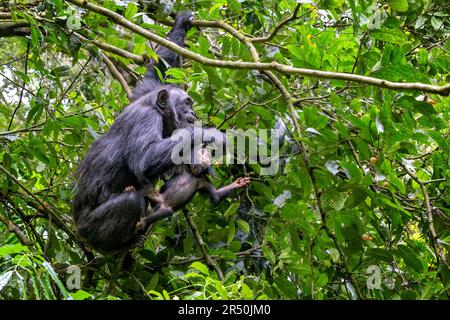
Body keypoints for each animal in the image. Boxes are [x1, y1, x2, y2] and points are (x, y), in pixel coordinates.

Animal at [71, 11, 221, 252]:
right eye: (186, 103)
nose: (193, 112)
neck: (158, 111)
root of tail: (77, 229)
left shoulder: (146, 91)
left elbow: (158, 69)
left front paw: (182, 22)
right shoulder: (146, 119)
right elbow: (144, 158)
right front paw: (210, 134)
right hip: (90, 229)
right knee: (131, 201)